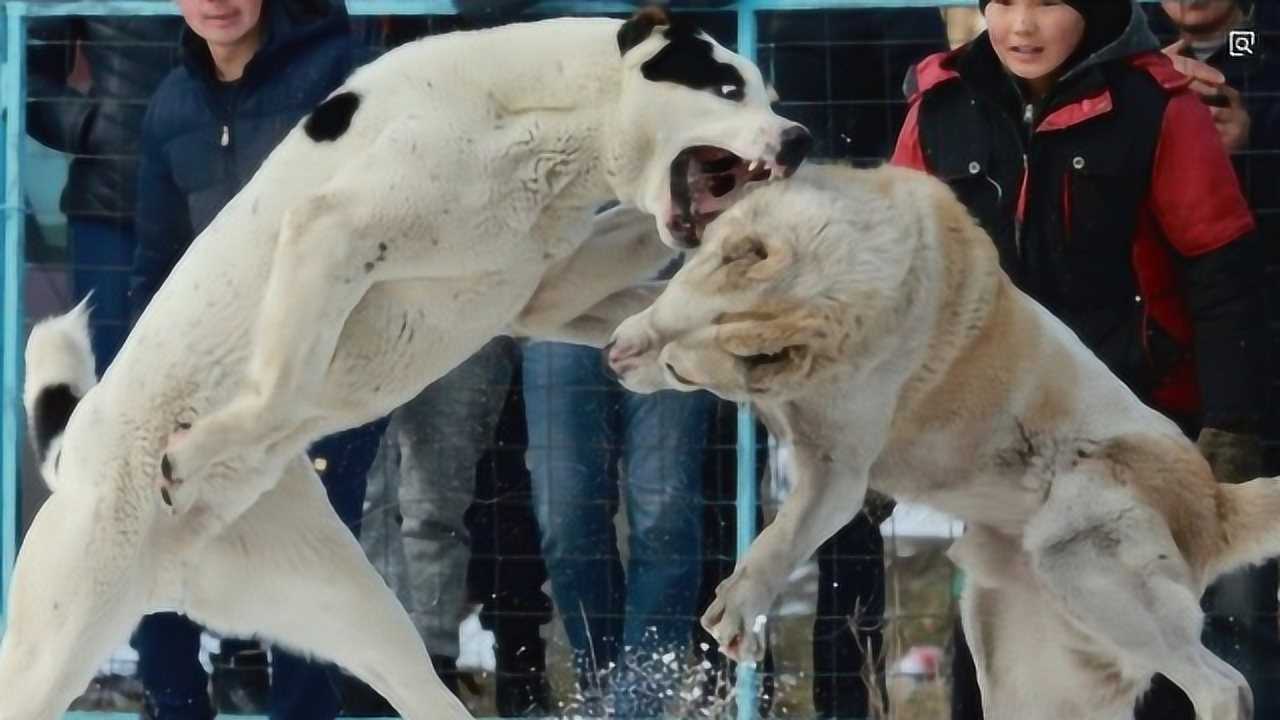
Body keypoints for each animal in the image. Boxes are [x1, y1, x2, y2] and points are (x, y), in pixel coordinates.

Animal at [0, 7, 808, 717]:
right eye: (727, 87)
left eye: (771, 94)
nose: (799, 139)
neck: (544, 115)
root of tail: (73, 454)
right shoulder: (334, 229)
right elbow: (285, 383)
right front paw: (197, 447)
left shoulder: (542, 294)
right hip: (55, 640)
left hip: (354, 612)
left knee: (425, 692)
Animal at [604, 163, 1274, 717]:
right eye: (671, 309)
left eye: (679, 371)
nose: (613, 355)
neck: (837, 278)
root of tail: (1216, 502)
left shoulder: (836, 473)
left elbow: (781, 537)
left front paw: (741, 605)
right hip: (1018, 654)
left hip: (1085, 565)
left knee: (1226, 686)